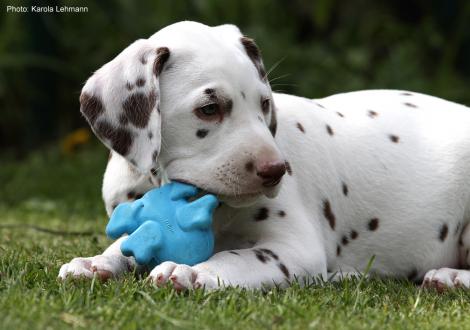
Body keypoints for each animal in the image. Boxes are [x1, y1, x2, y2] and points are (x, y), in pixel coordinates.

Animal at [58, 20, 470, 290]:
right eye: (209, 109)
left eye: (265, 104)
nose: (276, 171)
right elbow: (124, 245)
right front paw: (96, 261)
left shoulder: (294, 247)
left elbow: (238, 258)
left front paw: (194, 272)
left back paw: (448, 277)